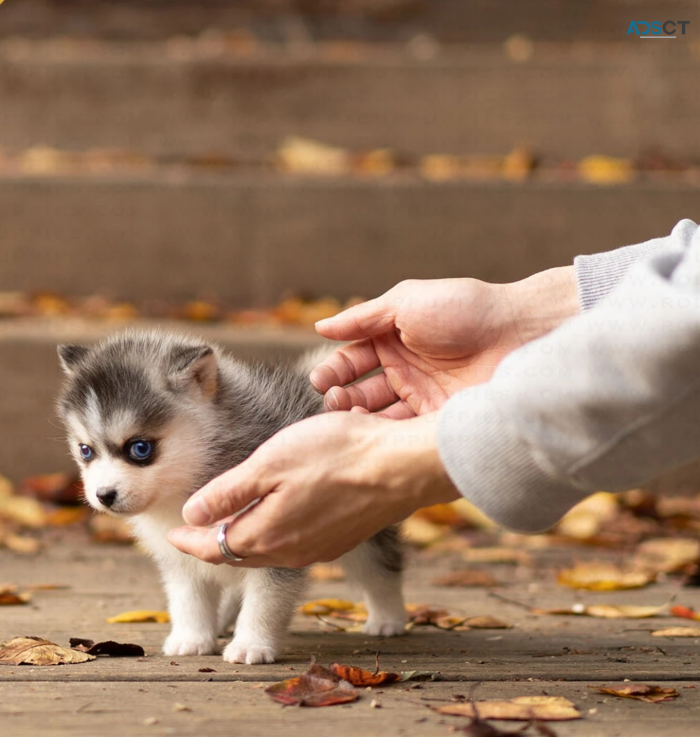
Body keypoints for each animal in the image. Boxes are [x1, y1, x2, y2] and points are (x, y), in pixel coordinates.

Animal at [57, 330, 408, 664]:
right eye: (85, 450)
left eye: (140, 448)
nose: (104, 495)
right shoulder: (180, 556)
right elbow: (188, 599)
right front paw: (192, 639)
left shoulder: (276, 541)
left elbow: (264, 602)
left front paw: (251, 644)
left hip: (360, 529)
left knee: (380, 568)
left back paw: (387, 619)